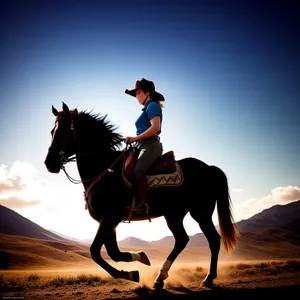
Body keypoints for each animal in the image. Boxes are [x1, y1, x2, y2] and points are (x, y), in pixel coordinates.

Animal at [44, 102, 239, 290]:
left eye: (63, 130)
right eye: (52, 131)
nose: (49, 163)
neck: (105, 169)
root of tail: (209, 168)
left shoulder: (111, 217)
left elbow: (97, 252)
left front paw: (133, 272)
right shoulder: (107, 221)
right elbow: (113, 252)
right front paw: (139, 261)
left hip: (200, 212)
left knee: (213, 240)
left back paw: (208, 278)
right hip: (174, 214)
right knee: (182, 240)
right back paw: (160, 279)